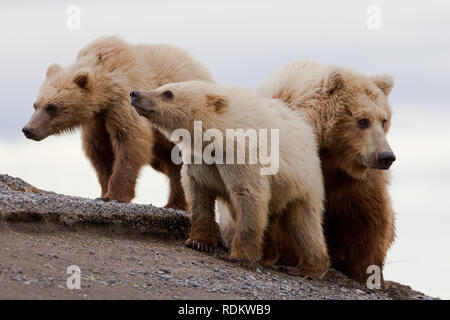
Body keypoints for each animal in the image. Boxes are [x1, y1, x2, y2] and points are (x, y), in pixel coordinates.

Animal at [22, 36, 215, 206]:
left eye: (51, 107)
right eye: (35, 105)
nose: (28, 129)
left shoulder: (123, 103)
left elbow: (129, 142)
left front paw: (115, 195)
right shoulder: (96, 121)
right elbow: (100, 152)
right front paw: (103, 192)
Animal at [130, 80, 330, 278]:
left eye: (168, 93)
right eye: (161, 87)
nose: (134, 93)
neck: (218, 134)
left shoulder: (241, 156)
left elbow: (249, 196)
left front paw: (240, 255)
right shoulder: (200, 160)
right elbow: (199, 193)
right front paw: (198, 242)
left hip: (303, 184)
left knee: (305, 224)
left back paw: (308, 268)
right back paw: (268, 255)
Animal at [258, 60, 396, 282]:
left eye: (384, 120)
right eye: (363, 120)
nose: (386, 157)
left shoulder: (355, 178)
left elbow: (367, 217)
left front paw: (365, 270)